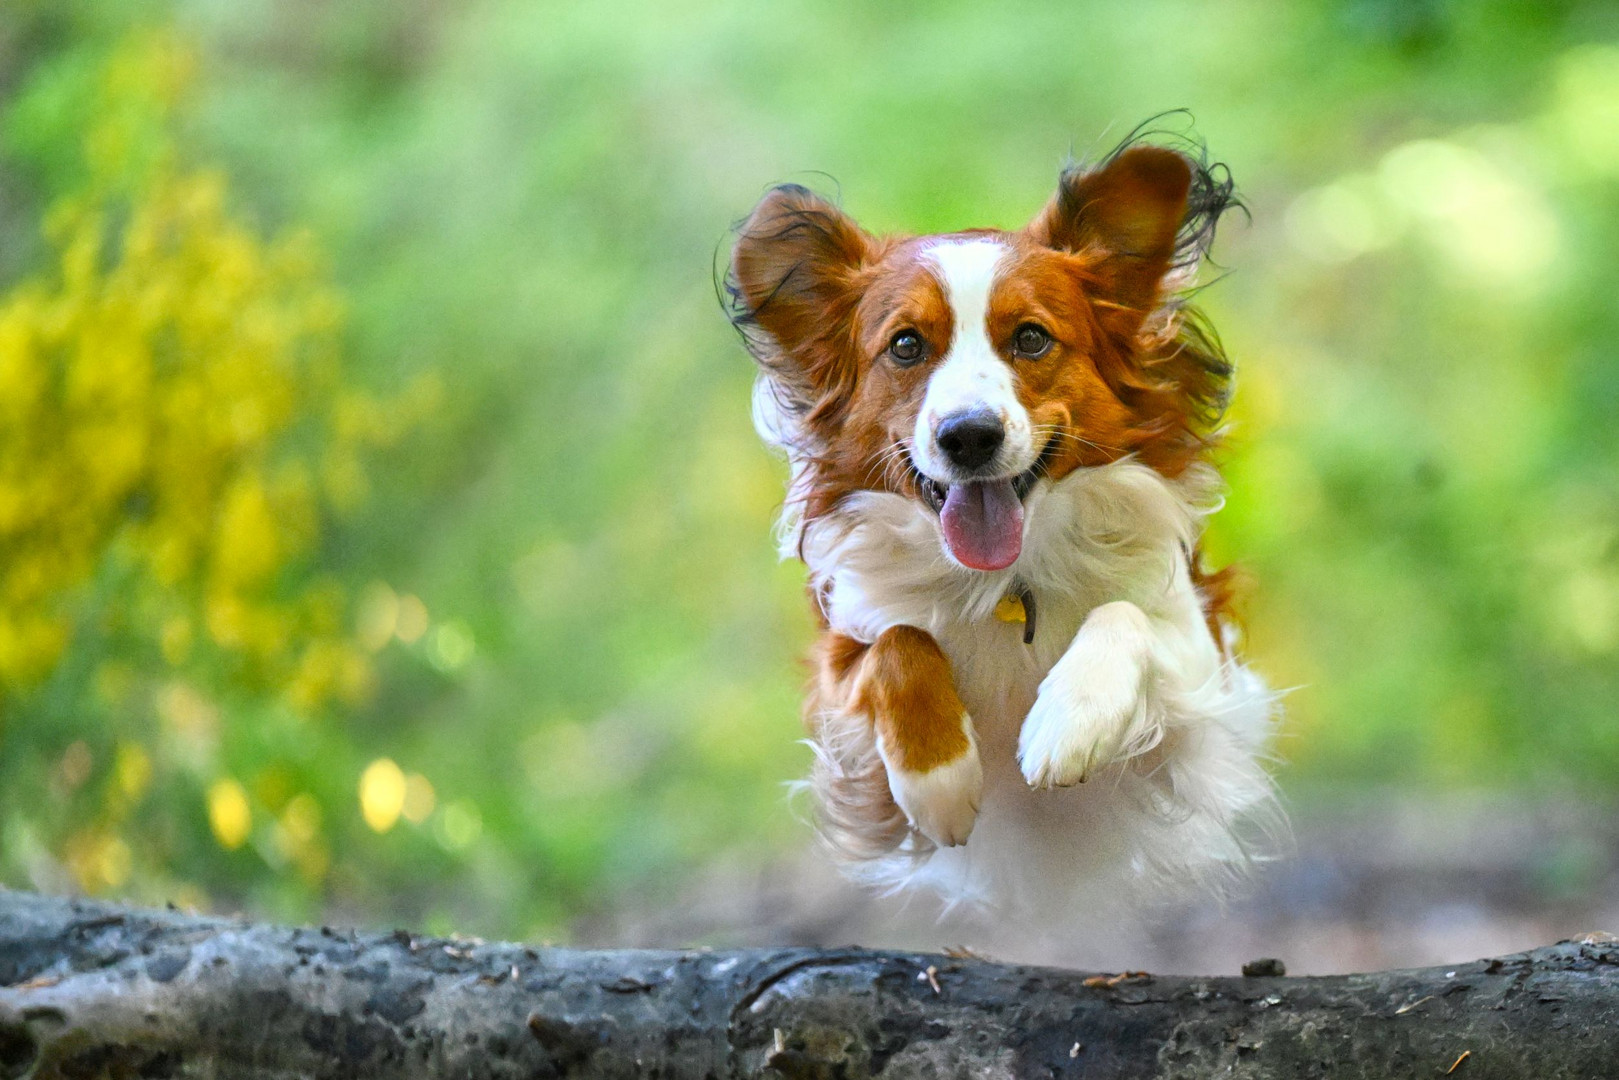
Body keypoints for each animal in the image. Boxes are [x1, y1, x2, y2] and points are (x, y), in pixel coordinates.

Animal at [731, 135, 1275, 932]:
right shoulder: (843, 701)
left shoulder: (1204, 702)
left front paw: (1068, 722)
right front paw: (939, 779)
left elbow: (1123, 616)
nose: (968, 436)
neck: (1005, 587)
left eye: (1030, 338)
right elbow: (900, 644)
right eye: (905, 346)